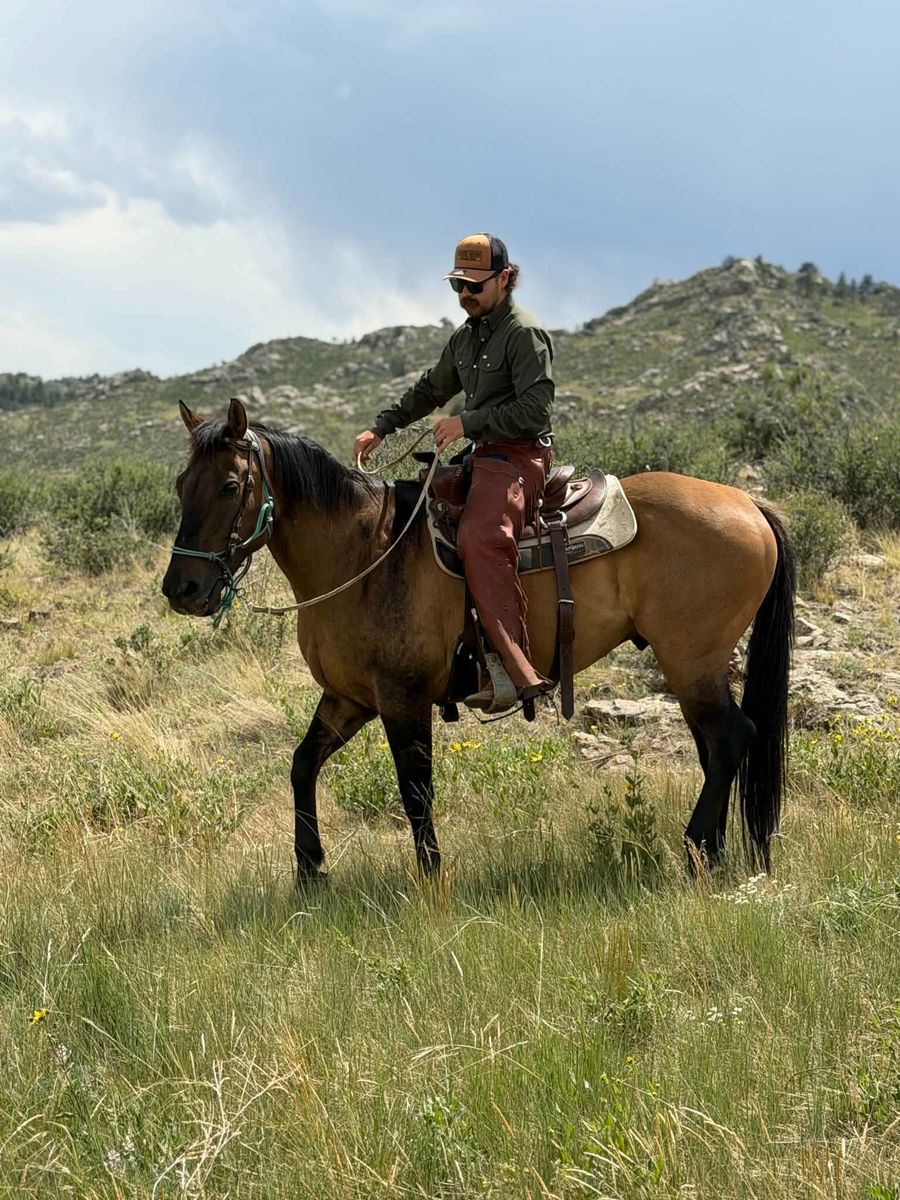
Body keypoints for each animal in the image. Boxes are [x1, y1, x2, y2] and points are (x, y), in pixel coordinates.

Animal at [162, 398, 795, 882]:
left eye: (230, 485)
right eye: (180, 484)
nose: (181, 588)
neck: (363, 555)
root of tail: (749, 503)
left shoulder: (403, 698)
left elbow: (415, 791)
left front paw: (431, 881)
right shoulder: (350, 699)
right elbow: (302, 765)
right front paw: (310, 872)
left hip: (691, 660)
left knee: (731, 738)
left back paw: (696, 852)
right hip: (692, 669)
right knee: (717, 748)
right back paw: (717, 853)